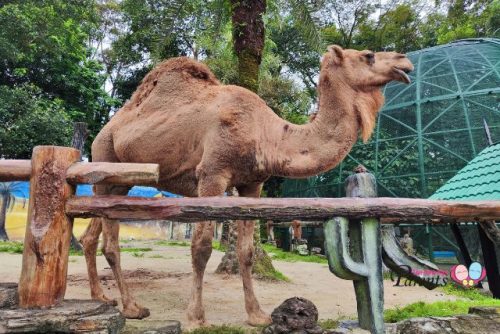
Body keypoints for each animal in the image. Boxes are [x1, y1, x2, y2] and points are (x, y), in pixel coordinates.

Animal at [79, 45, 414, 328]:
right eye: (368, 55)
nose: (404, 61)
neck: (267, 133)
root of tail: (103, 132)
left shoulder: (252, 184)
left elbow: (247, 252)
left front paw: (257, 315)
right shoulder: (212, 175)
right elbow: (201, 248)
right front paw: (196, 318)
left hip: (120, 184)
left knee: (90, 236)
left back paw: (102, 297)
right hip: (106, 161)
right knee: (110, 244)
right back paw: (132, 308)